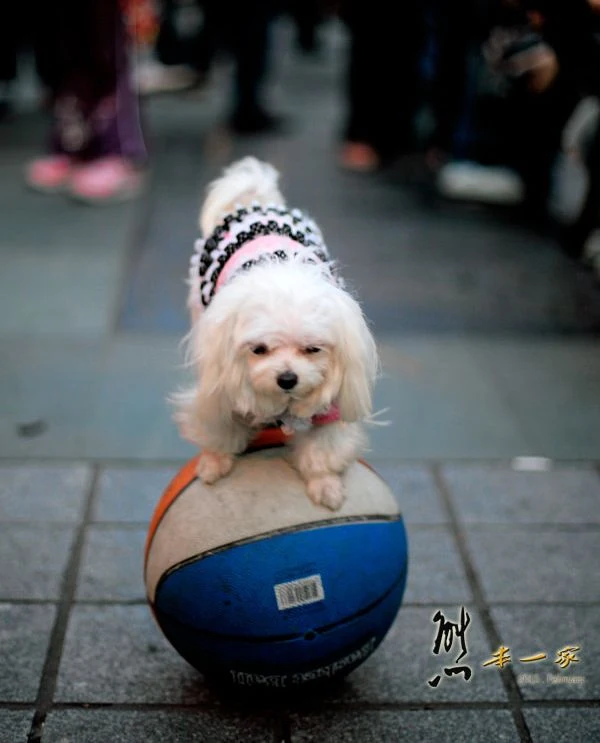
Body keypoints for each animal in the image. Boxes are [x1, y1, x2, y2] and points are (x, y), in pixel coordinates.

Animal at [175, 158, 380, 512]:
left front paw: (325, 486)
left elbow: (322, 450)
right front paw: (214, 463)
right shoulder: (220, 382)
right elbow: (219, 427)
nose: (287, 379)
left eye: (313, 349)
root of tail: (257, 202)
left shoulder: (331, 406)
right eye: (258, 349)